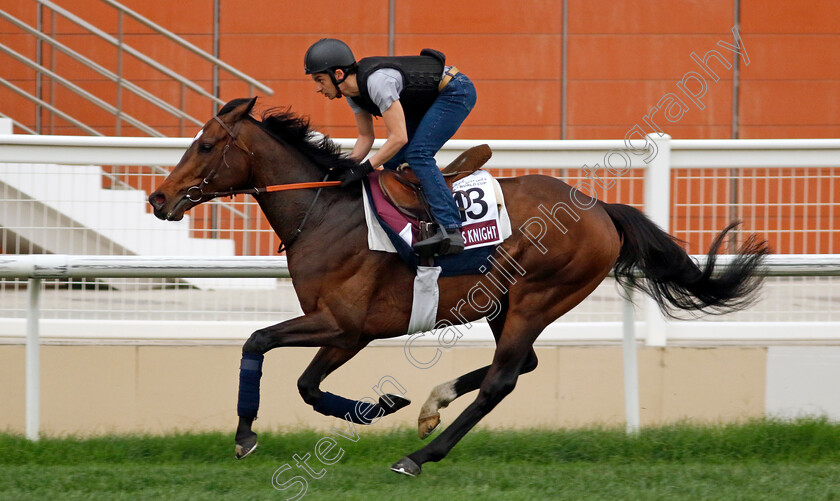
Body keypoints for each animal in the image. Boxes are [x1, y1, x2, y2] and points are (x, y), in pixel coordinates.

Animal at [149, 97, 768, 476]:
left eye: (206, 146)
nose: (158, 198)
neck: (324, 212)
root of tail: (600, 210)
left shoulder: (345, 326)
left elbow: (263, 346)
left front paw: (246, 435)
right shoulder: (343, 331)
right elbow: (305, 383)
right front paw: (385, 403)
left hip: (538, 298)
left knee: (503, 380)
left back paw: (421, 454)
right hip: (502, 302)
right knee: (521, 365)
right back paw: (432, 404)